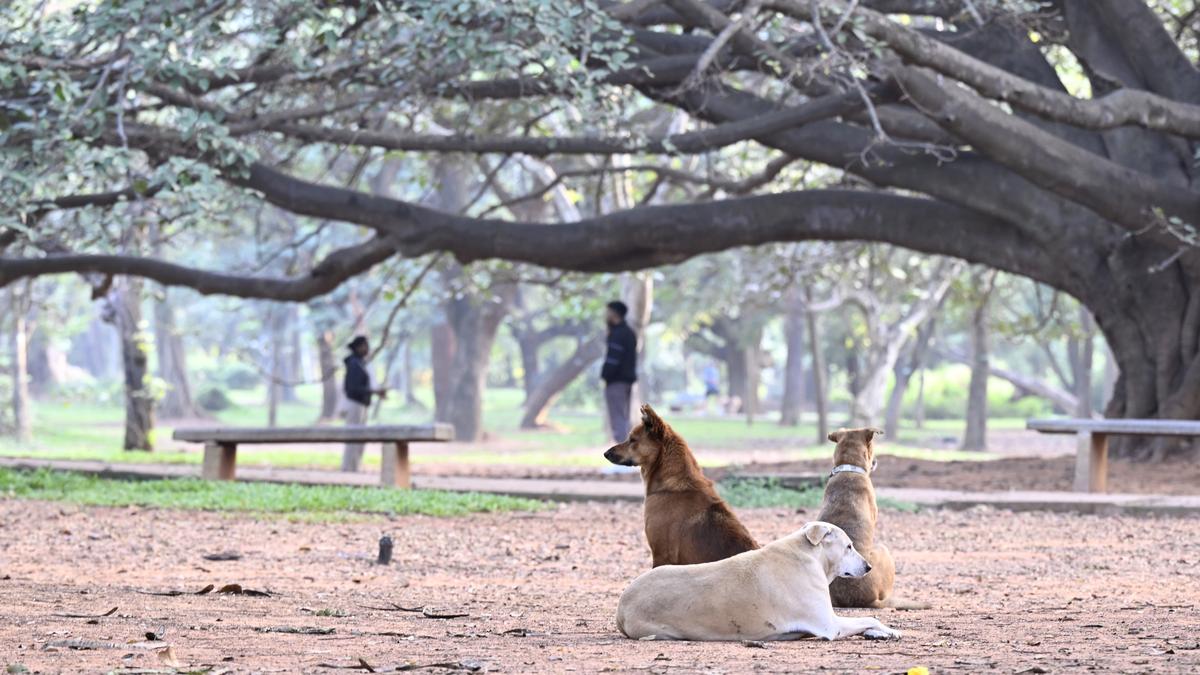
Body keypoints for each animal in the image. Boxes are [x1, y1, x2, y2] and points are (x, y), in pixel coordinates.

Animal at [619, 521, 902, 638]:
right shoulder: (830, 626)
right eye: (849, 547)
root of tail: (621, 606)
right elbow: (870, 617)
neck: (809, 554)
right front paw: (890, 630)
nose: (868, 566)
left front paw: (879, 633)